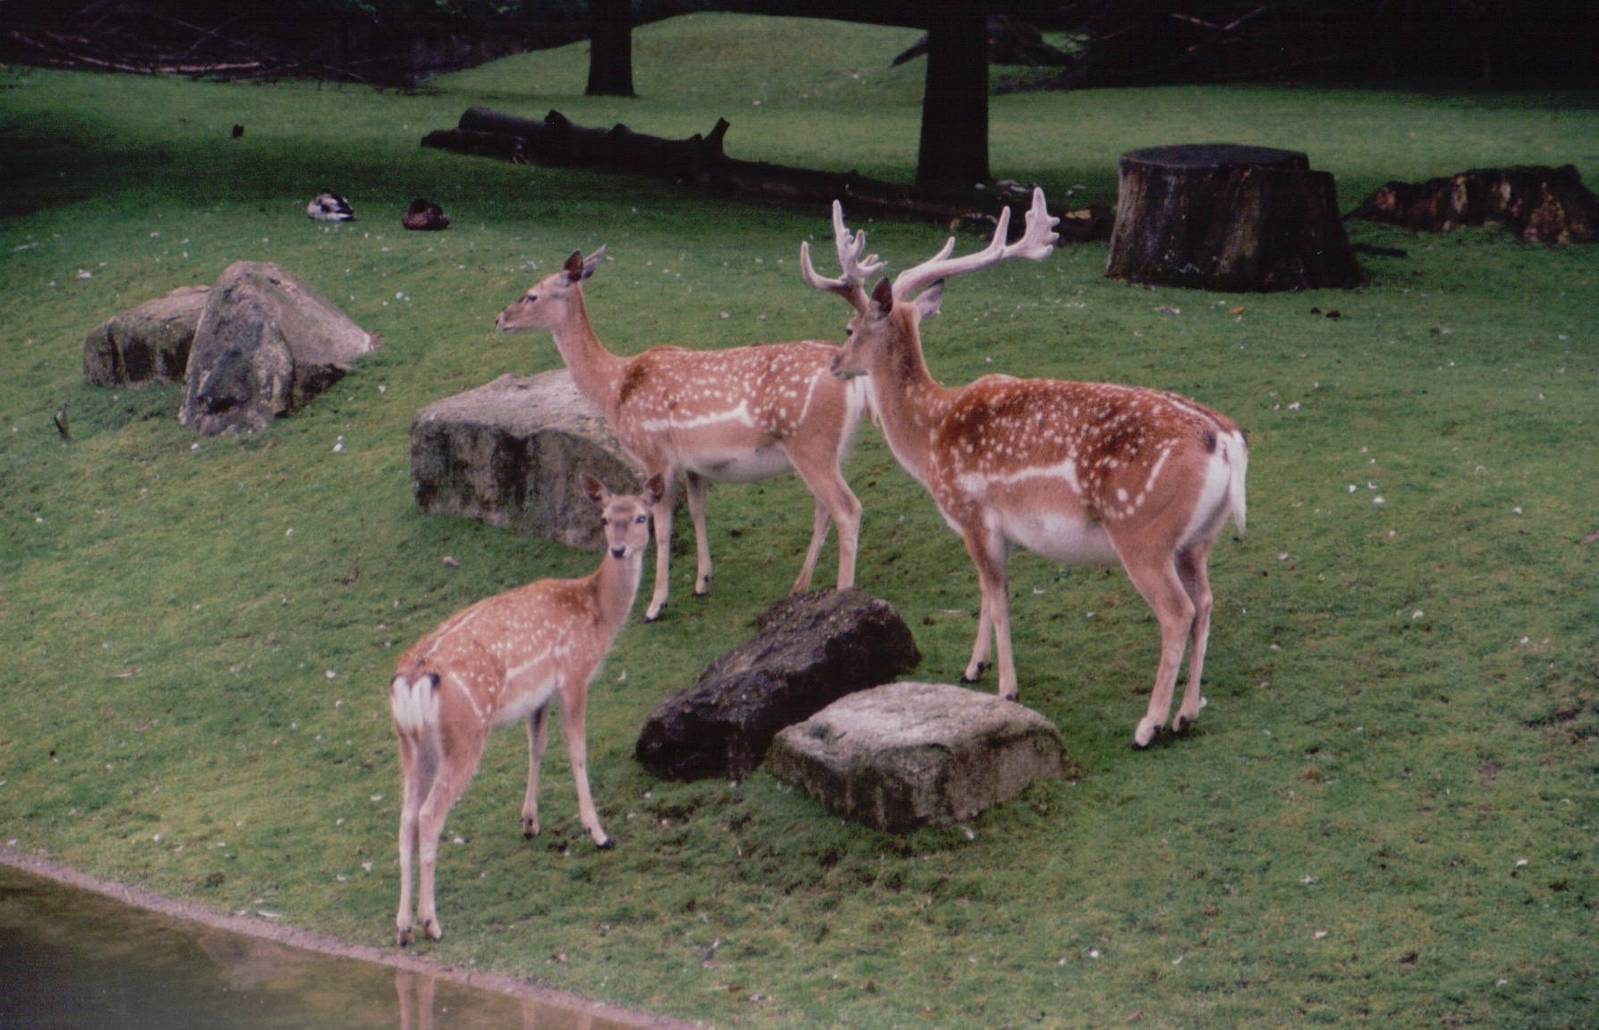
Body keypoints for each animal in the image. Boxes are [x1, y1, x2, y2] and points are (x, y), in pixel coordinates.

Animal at [390, 473, 664, 946]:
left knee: (406, 819)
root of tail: (413, 680)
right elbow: (577, 752)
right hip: (463, 738)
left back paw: (403, 925)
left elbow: (537, 748)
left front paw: (530, 822)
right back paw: (431, 922)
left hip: (412, 746)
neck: (598, 613)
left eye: (641, 517)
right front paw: (599, 833)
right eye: (605, 518)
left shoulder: (539, 696)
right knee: (428, 815)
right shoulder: (574, 674)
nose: (618, 549)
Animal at [496, 247, 872, 623]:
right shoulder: (693, 464)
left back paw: (843, 594)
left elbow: (660, 528)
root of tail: (855, 380)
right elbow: (697, 510)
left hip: (811, 443)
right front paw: (703, 581)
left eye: (532, 294)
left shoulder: (655, 454)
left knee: (848, 507)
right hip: (835, 449)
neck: (614, 389)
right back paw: (799, 586)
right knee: (825, 507)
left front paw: (655, 604)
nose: (500, 318)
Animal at [802, 188, 1249, 748]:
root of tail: (1226, 440)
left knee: (1178, 611)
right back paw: (1187, 714)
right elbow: (986, 591)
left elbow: (997, 595)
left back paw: (1148, 725)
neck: (930, 440)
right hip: (1199, 539)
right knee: (1207, 602)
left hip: (1143, 531)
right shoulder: (996, 530)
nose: (835, 363)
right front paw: (974, 667)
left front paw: (1008, 689)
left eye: (848, 328)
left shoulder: (971, 510)